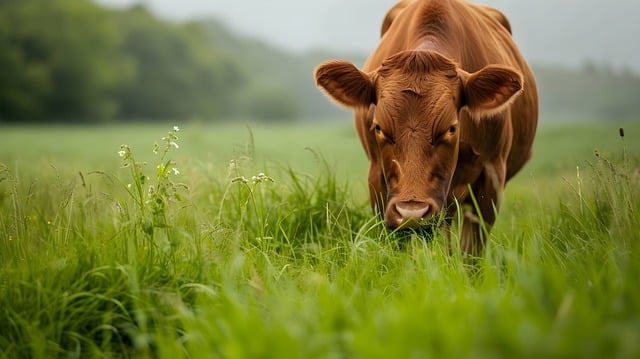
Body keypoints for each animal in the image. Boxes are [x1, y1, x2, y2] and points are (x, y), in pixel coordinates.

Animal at [314, 0, 536, 256]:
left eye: (451, 128)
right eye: (378, 128)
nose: (412, 212)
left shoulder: (491, 177)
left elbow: (470, 251)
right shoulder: (379, 182)